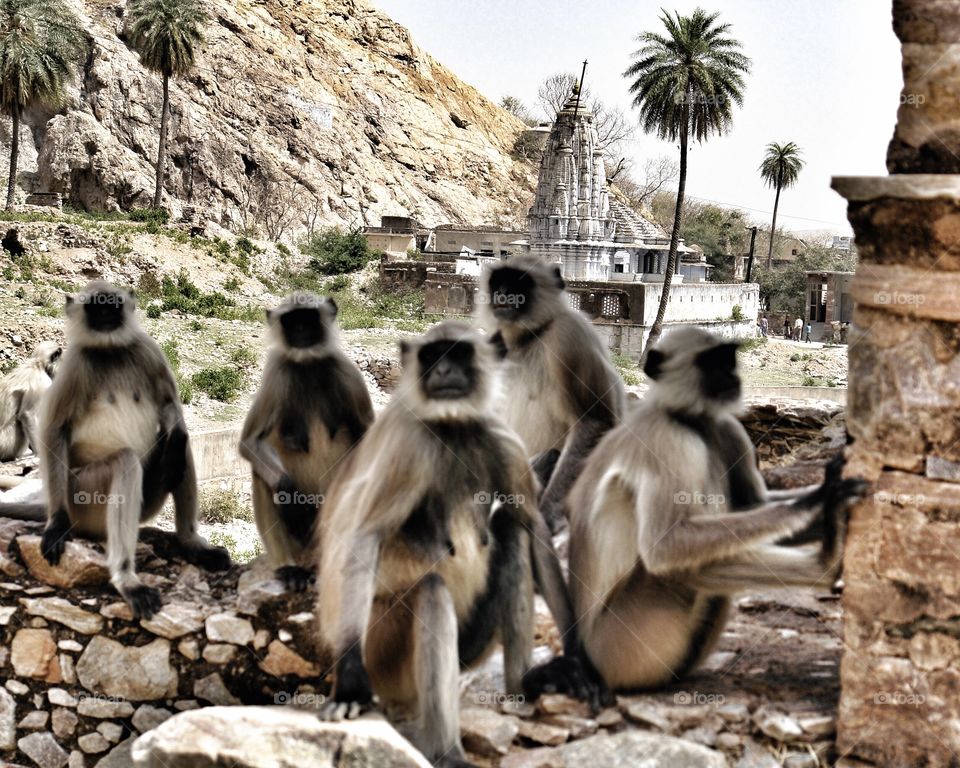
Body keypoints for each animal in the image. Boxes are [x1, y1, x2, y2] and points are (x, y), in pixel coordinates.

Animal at [29, 282, 230, 616]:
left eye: (112, 304)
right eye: (96, 307)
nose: (106, 316)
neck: (111, 350)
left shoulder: (148, 349)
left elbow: (170, 406)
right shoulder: (74, 365)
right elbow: (54, 430)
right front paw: (56, 525)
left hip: (147, 500)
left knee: (181, 449)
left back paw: (192, 544)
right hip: (81, 498)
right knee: (125, 461)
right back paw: (127, 580)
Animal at [240, 292, 376, 592]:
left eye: (309, 317)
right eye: (292, 321)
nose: (301, 330)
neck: (308, 364)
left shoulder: (349, 373)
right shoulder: (276, 375)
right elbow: (249, 443)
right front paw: (290, 496)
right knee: (261, 474)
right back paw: (289, 567)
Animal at [316, 320, 584, 768]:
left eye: (457, 354)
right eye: (431, 357)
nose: (442, 371)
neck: (454, 426)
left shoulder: (502, 439)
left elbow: (532, 526)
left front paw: (581, 658)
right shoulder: (410, 446)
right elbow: (365, 535)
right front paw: (350, 680)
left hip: (471, 647)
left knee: (511, 530)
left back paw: (524, 684)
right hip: (384, 650)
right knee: (431, 591)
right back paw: (447, 751)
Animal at [478, 255, 624, 532]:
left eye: (518, 282)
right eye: (498, 282)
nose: (503, 293)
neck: (528, 338)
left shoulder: (569, 337)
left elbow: (593, 420)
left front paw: (546, 517)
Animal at [524, 324, 872, 696]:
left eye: (728, 358)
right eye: (710, 363)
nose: (732, 376)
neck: (687, 418)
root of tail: (581, 651)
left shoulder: (728, 429)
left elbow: (753, 506)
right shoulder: (669, 439)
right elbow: (664, 546)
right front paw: (819, 499)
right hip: (619, 646)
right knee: (678, 563)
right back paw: (826, 563)